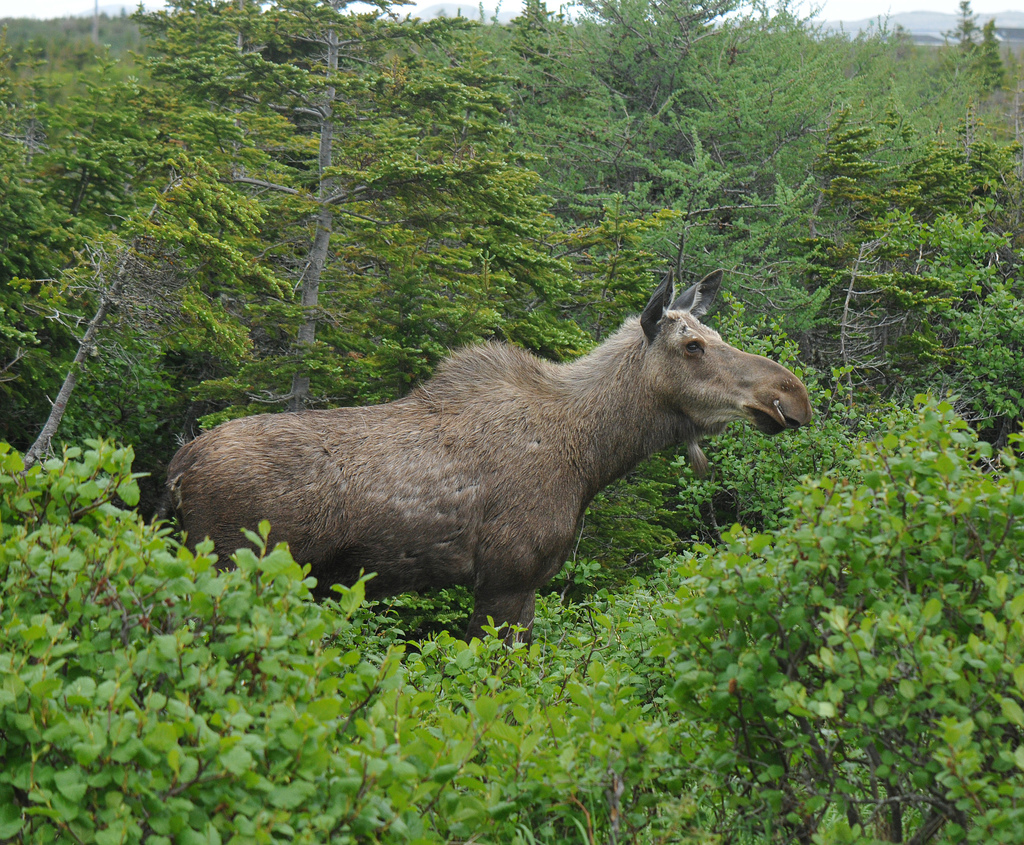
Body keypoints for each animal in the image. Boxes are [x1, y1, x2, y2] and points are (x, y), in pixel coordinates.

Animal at [163, 272, 811, 639]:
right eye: (694, 345)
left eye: (714, 335)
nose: (791, 396)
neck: (591, 456)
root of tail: (178, 469)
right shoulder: (507, 579)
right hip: (227, 568)